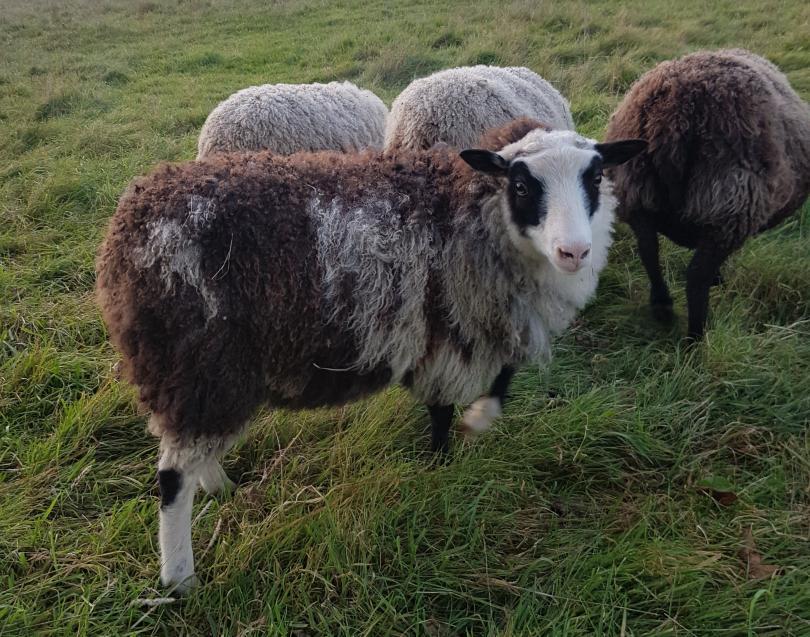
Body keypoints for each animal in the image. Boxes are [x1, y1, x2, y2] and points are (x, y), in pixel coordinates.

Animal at [96, 120, 645, 591]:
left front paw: (471, 427)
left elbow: (500, 376)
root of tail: (126, 235)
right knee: (172, 477)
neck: (473, 215)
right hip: (200, 362)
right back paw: (180, 578)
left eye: (596, 176)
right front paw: (449, 455)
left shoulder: (471, 322)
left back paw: (221, 487)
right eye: (523, 185)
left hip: (199, 374)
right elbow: (451, 405)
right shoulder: (454, 325)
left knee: (191, 450)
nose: (574, 252)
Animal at [605, 49, 810, 339]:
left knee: (648, 250)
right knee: (696, 277)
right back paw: (697, 338)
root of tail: (672, 114)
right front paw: (718, 279)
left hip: (636, 191)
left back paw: (662, 306)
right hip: (730, 205)